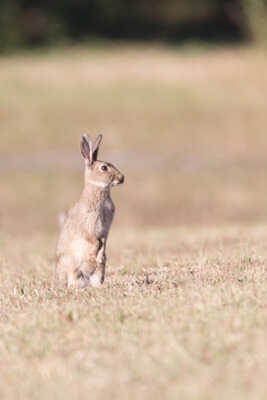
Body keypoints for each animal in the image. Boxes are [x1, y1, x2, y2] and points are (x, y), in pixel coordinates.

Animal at [56, 134, 125, 288]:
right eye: (104, 167)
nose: (122, 178)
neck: (98, 189)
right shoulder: (87, 227)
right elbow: (94, 241)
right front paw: (95, 255)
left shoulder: (105, 230)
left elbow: (103, 242)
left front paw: (100, 257)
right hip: (72, 266)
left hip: (99, 272)